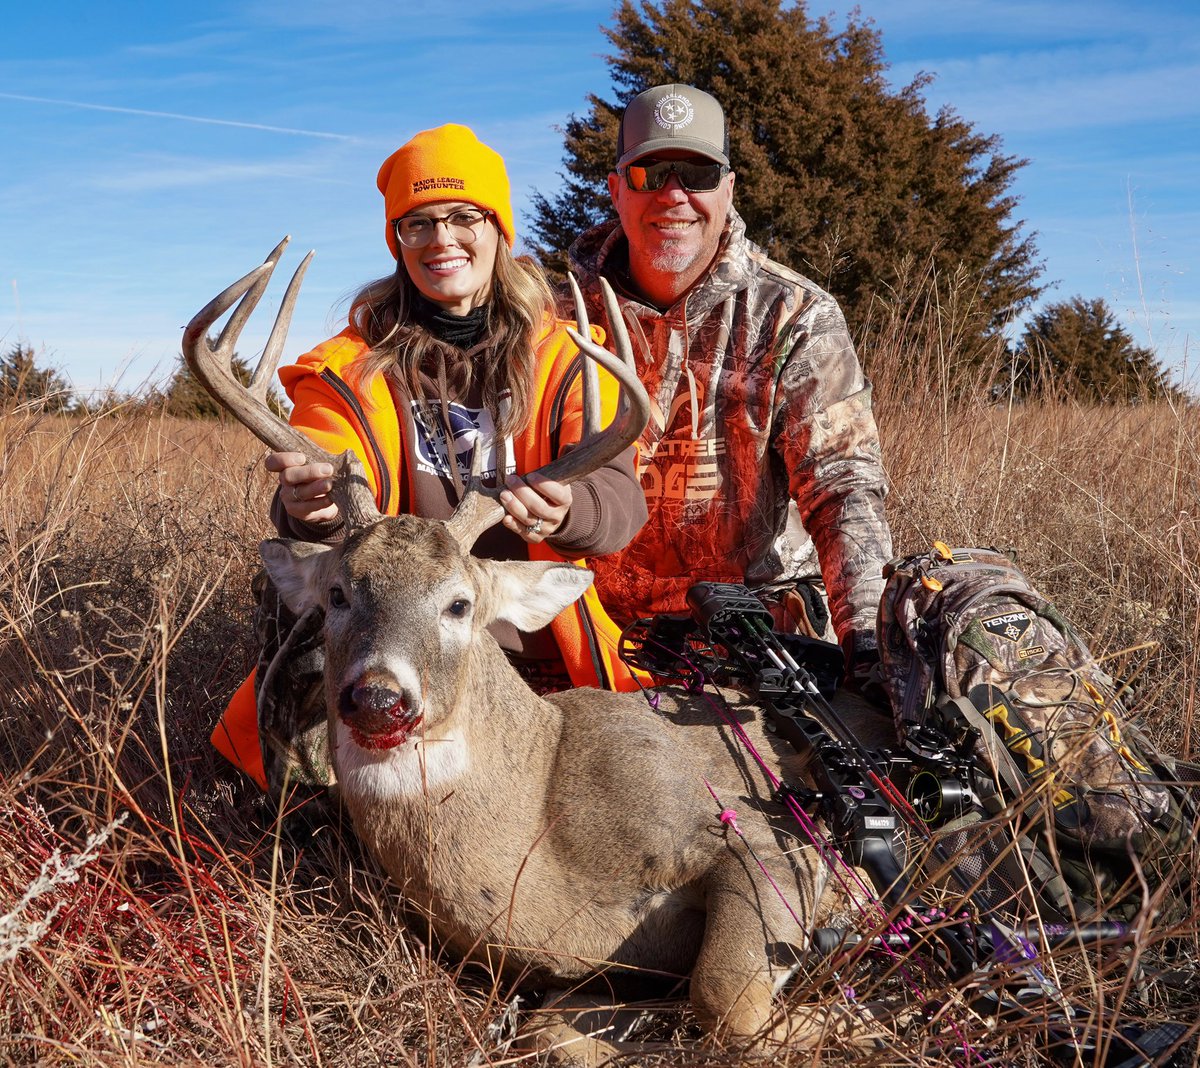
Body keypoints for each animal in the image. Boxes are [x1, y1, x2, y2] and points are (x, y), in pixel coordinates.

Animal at [182, 237, 868, 1060]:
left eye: (460, 604)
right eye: (339, 594)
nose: (378, 697)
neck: (542, 834)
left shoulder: (760, 839)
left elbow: (724, 1000)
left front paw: (844, 1014)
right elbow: (560, 1028)